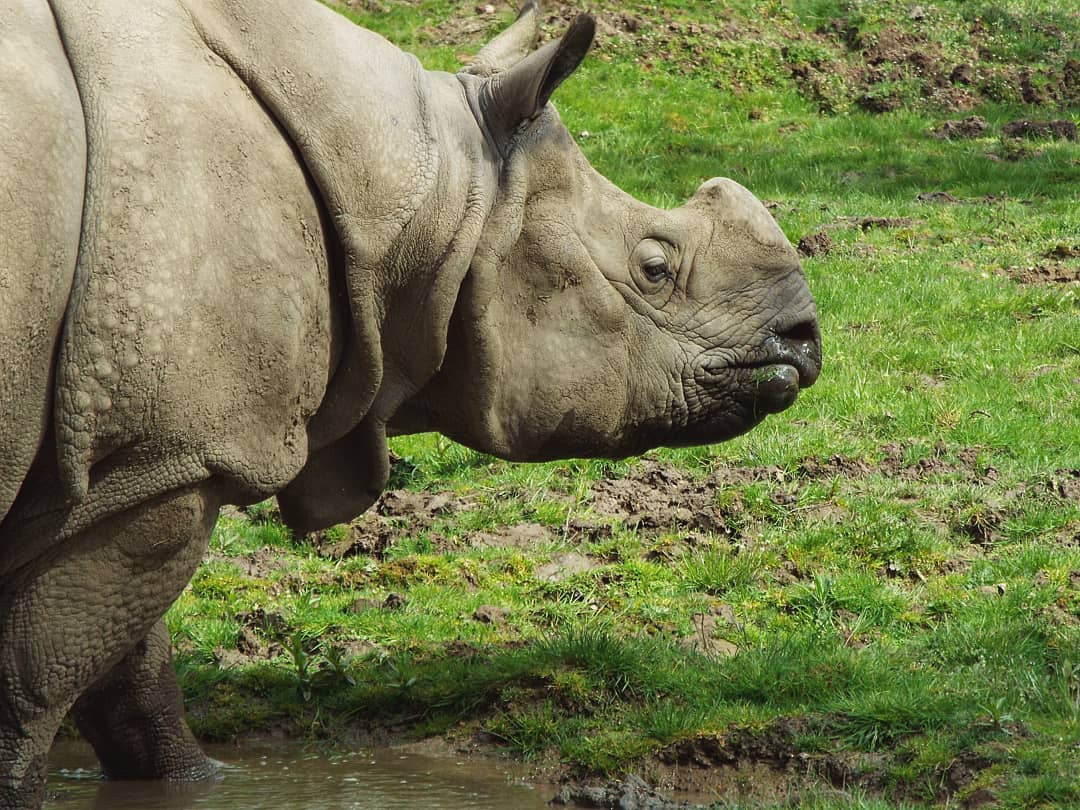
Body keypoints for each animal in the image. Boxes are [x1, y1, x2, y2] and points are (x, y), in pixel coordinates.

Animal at [0, 0, 820, 804]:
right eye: (654, 268)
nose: (803, 341)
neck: (428, 195)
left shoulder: (145, 463)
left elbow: (132, 676)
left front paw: (199, 782)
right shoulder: (173, 455)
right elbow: (36, 690)